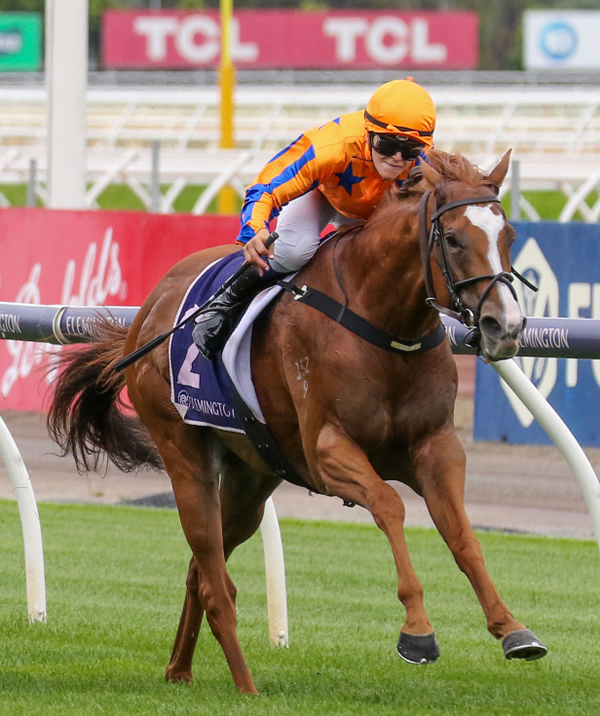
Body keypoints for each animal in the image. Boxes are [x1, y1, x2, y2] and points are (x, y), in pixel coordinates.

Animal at [48, 150, 544, 692]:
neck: (385, 323)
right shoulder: (327, 451)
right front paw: (417, 632)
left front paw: (512, 629)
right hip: (184, 455)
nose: (505, 326)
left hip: (251, 477)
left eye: (509, 235)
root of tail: (145, 316)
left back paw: (179, 668)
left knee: (202, 570)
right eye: (452, 239)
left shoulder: (436, 447)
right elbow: (390, 506)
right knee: (214, 579)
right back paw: (246, 686)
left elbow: (462, 536)